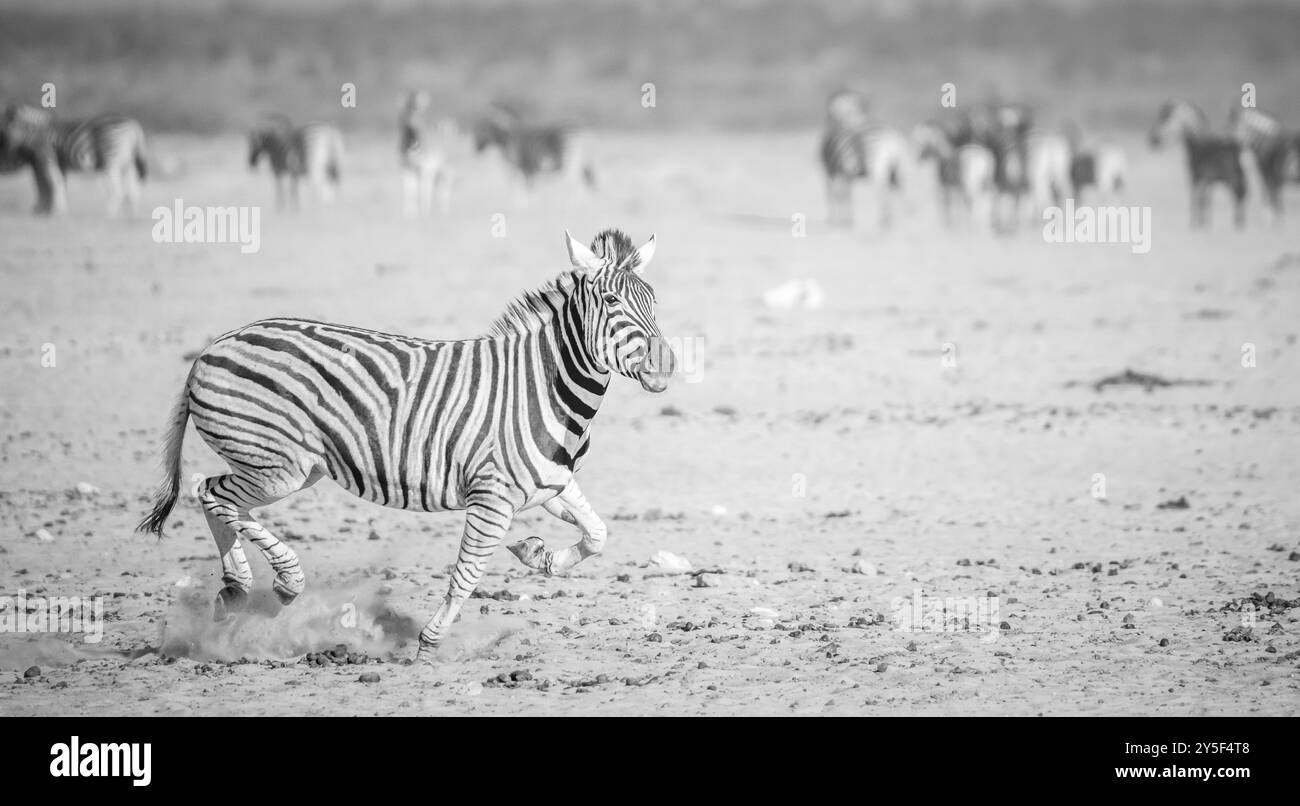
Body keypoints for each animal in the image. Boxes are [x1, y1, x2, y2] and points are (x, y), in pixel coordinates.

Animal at [0, 104, 146, 217]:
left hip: (111, 158)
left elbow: (52, 183)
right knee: (133, 190)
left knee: (118, 189)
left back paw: (109, 215)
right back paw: (131, 217)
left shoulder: (47, 157)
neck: (36, 131)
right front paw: (59, 210)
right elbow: (60, 183)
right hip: (128, 162)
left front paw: (56, 212)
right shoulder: (60, 163)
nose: (8, 151)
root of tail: (133, 125)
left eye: (4, 127)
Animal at [135, 226, 676, 660]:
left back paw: (237, 592)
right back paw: (285, 583)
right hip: (279, 464)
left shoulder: (552, 484)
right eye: (612, 303)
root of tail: (212, 348)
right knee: (213, 493)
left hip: (291, 467)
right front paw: (429, 644)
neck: (543, 389)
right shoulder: (491, 498)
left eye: (654, 302)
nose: (665, 366)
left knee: (220, 499)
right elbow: (466, 575)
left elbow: (597, 534)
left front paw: (538, 555)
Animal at [1154, 100, 1242, 228]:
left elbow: (1197, 198)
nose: (1152, 140)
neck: (1198, 146)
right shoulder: (1206, 179)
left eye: (1166, 117)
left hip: (1232, 177)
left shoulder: (1197, 177)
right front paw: (1204, 223)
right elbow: (1204, 199)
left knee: (1240, 194)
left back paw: (1238, 223)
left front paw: (1195, 224)